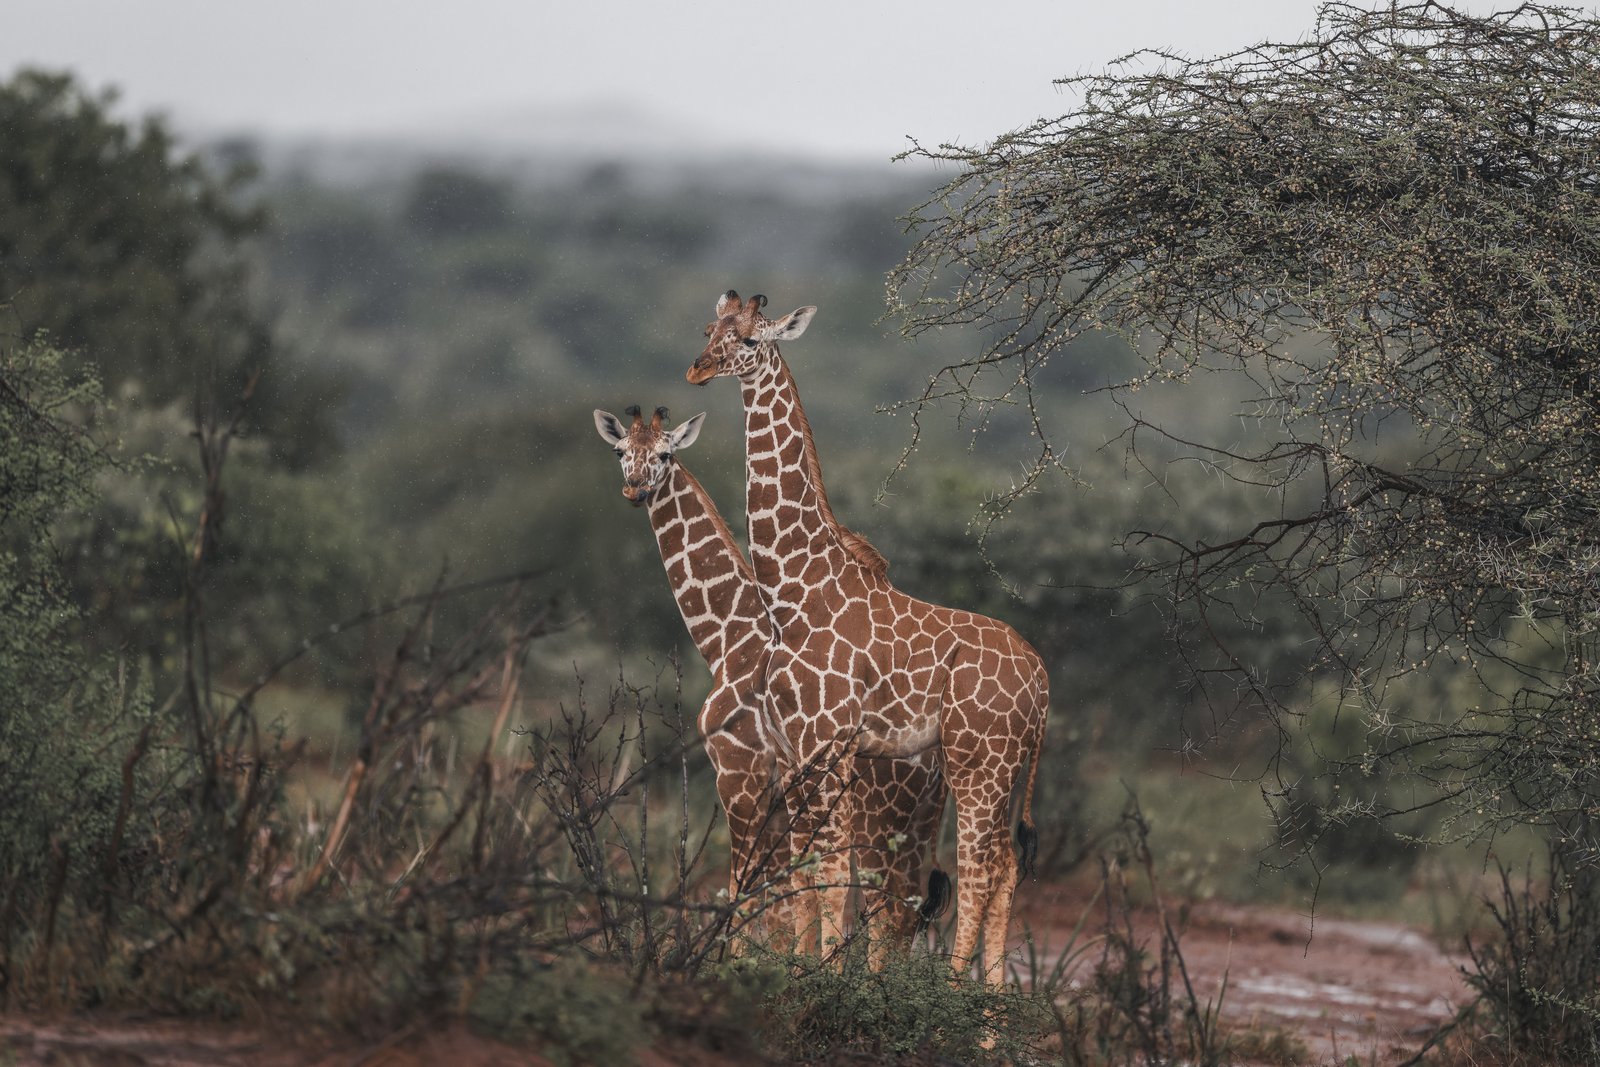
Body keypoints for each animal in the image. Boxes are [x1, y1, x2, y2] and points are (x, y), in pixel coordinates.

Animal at [592, 404, 948, 950]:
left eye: (665, 454)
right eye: (619, 451)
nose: (635, 488)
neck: (727, 640)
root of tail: (932, 761)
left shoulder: (740, 772)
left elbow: (744, 888)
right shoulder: (777, 799)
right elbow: (778, 899)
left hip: (876, 816)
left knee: (886, 908)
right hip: (916, 822)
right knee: (904, 910)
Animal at [686, 293, 1050, 981]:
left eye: (749, 339)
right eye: (710, 328)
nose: (698, 369)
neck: (795, 589)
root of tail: (1043, 683)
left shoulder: (825, 740)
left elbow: (831, 868)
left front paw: (824, 977)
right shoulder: (799, 748)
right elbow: (813, 869)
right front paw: (806, 970)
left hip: (978, 761)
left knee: (976, 868)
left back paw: (956, 993)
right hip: (1003, 765)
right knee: (1003, 864)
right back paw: (991, 1003)